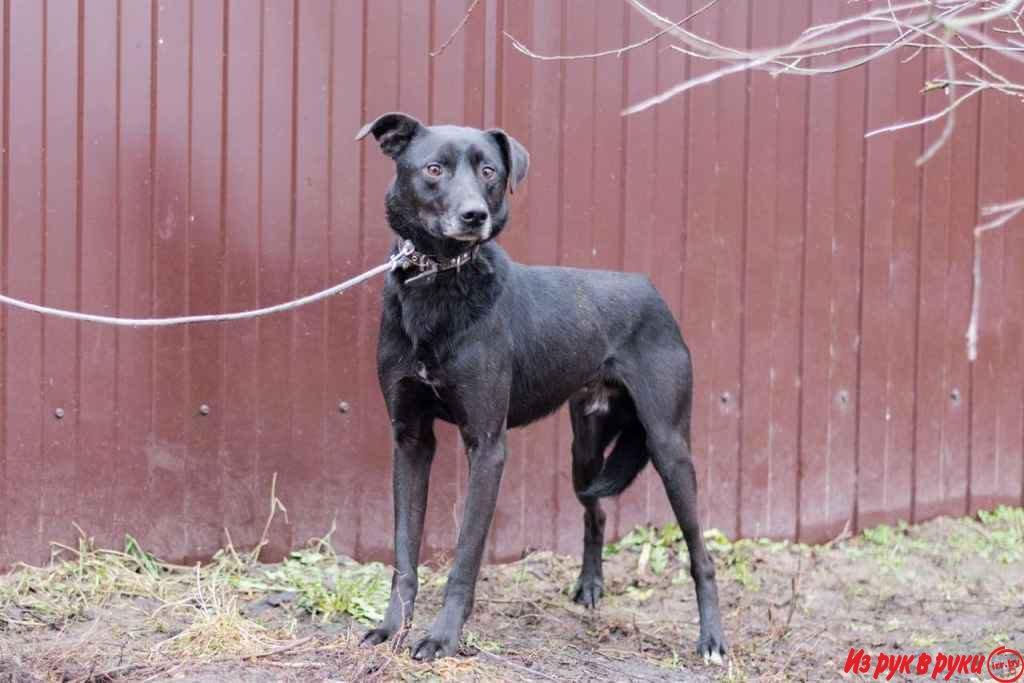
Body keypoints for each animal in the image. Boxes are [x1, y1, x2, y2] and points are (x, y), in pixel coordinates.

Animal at [356, 112, 724, 663]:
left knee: (701, 552)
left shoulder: (487, 446)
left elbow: (465, 557)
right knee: (596, 514)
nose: (474, 216)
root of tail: (652, 291)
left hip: (669, 445)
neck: (438, 279)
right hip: (585, 451)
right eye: (434, 169)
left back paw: (712, 640)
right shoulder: (410, 439)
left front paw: (443, 638)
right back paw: (590, 589)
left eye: (488, 171)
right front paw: (391, 629)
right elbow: (404, 551)